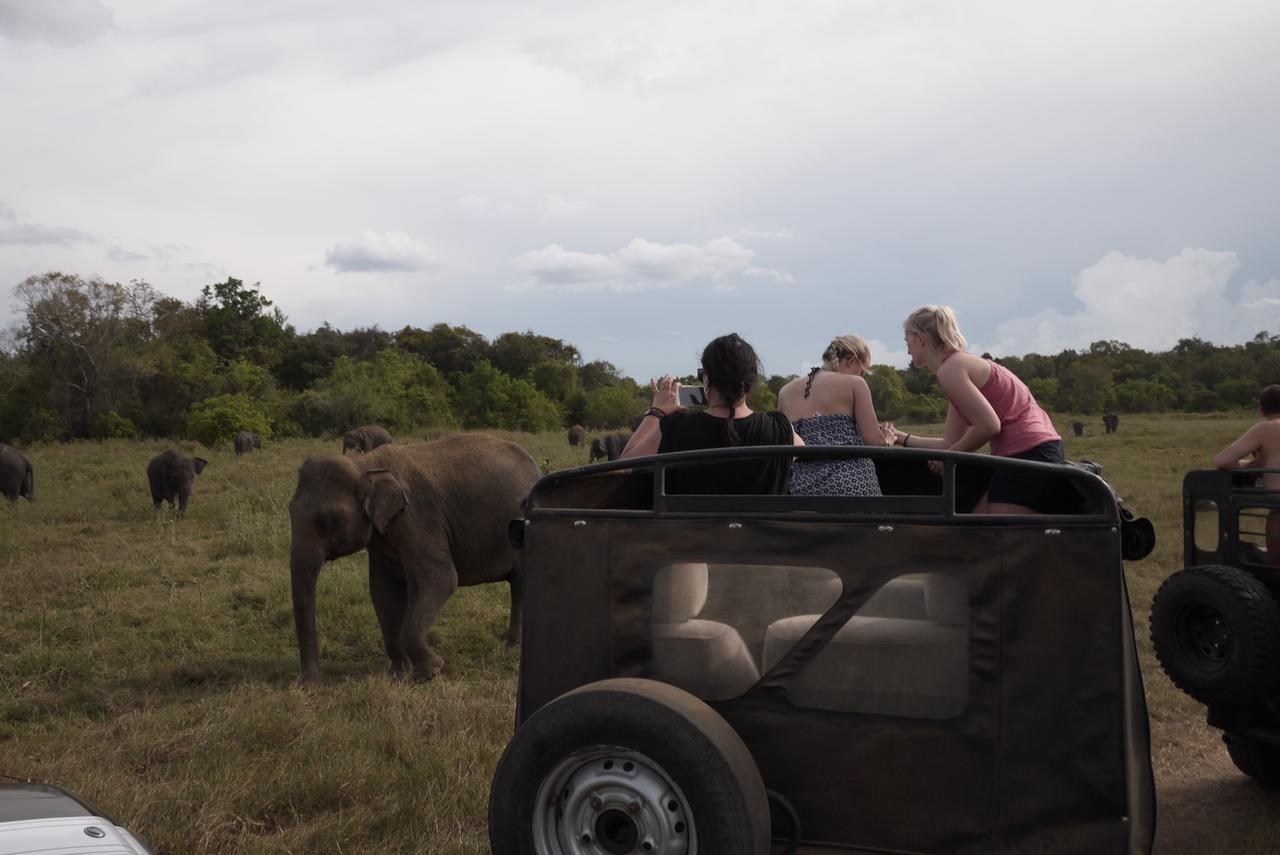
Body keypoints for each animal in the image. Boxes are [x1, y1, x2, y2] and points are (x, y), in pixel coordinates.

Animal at [290, 435, 540, 680]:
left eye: (326, 521)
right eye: (290, 511)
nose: (308, 683)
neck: (366, 465)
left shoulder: (417, 518)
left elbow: (441, 580)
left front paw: (429, 672)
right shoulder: (383, 539)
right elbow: (384, 593)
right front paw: (398, 674)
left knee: (521, 585)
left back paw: (510, 650)